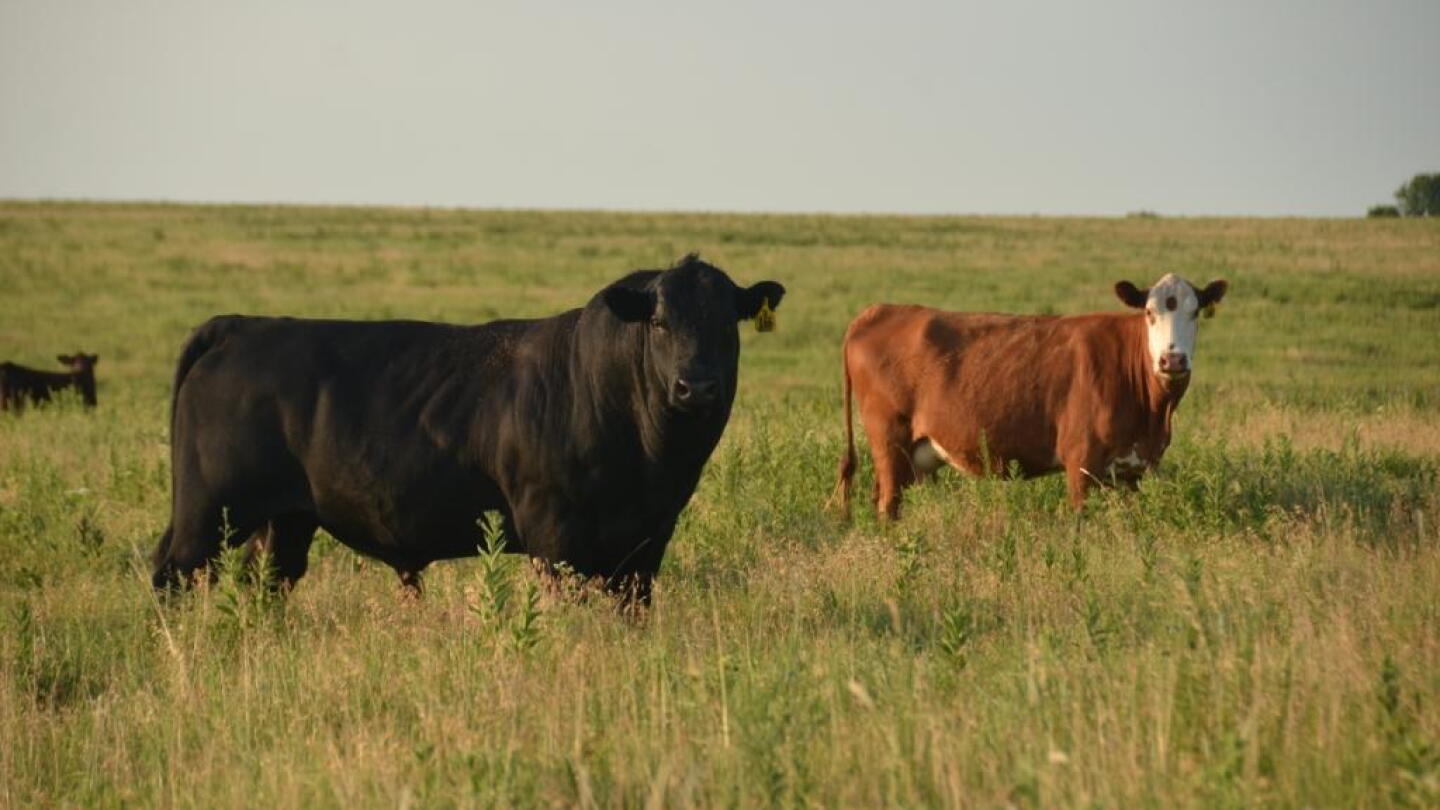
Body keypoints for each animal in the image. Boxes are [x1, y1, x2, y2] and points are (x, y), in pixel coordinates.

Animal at [152, 254, 785, 606]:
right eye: (658, 322)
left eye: (726, 324)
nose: (695, 386)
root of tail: (239, 325)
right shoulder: (554, 533)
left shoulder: (647, 542)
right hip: (208, 512)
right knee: (170, 575)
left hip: (283, 520)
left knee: (266, 585)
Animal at [831, 274, 1227, 518]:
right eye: (1149, 312)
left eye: (1195, 312)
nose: (1173, 359)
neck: (1153, 413)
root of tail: (878, 311)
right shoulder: (1081, 461)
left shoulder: (1134, 470)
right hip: (889, 440)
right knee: (887, 505)